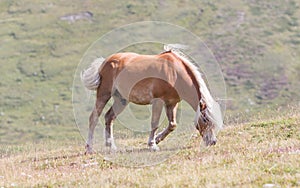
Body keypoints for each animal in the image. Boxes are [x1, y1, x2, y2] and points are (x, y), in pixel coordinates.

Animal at [80, 44, 223, 154]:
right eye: (205, 119)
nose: (212, 141)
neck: (175, 72)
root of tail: (105, 62)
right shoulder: (158, 101)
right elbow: (154, 123)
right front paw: (152, 145)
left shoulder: (172, 103)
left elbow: (172, 124)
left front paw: (158, 139)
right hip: (104, 94)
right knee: (93, 118)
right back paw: (89, 148)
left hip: (121, 100)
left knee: (109, 117)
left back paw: (112, 146)